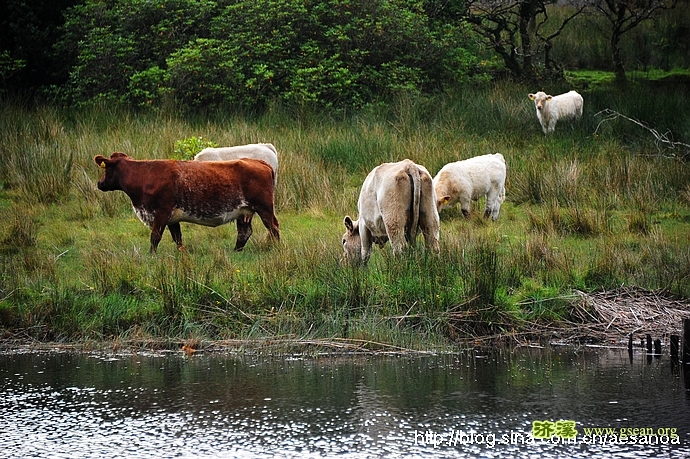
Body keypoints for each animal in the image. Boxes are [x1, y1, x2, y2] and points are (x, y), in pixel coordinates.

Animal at [93, 155, 280, 255]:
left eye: (106, 169)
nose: (99, 183)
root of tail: (258, 161)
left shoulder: (161, 212)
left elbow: (155, 236)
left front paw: (151, 255)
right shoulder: (172, 218)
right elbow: (178, 238)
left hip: (264, 208)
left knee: (273, 227)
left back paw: (276, 249)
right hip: (244, 212)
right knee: (244, 233)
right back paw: (235, 251)